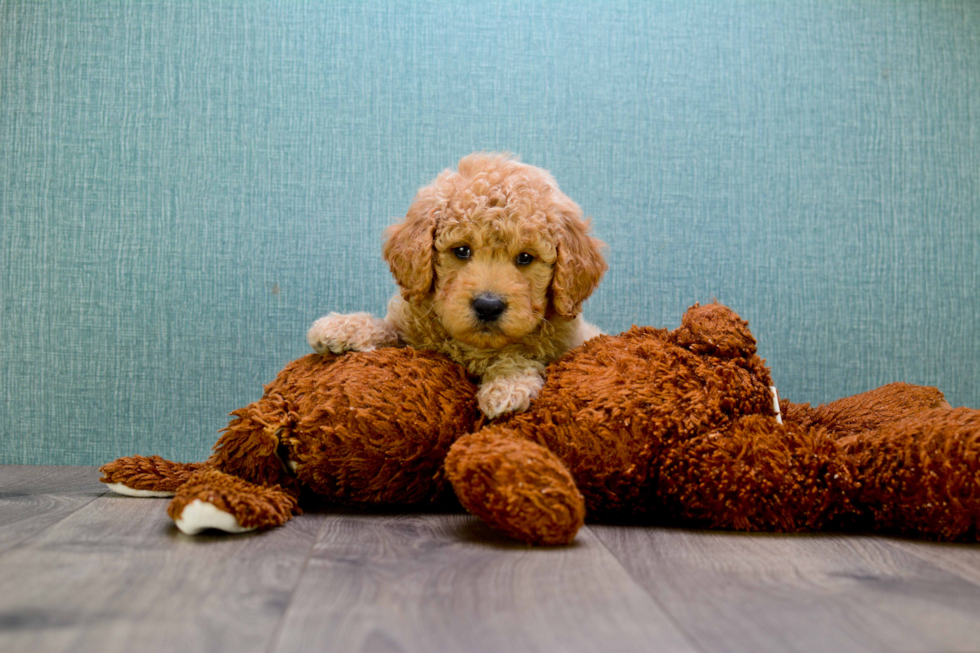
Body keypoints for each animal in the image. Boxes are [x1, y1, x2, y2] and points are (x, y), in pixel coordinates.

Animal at [310, 153, 608, 418]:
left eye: (525, 258)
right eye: (462, 251)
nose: (488, 306)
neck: (474, 347)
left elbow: (520, 354)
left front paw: (508, 386)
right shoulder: (411, 331)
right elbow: (390, 330)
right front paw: (343, 327)